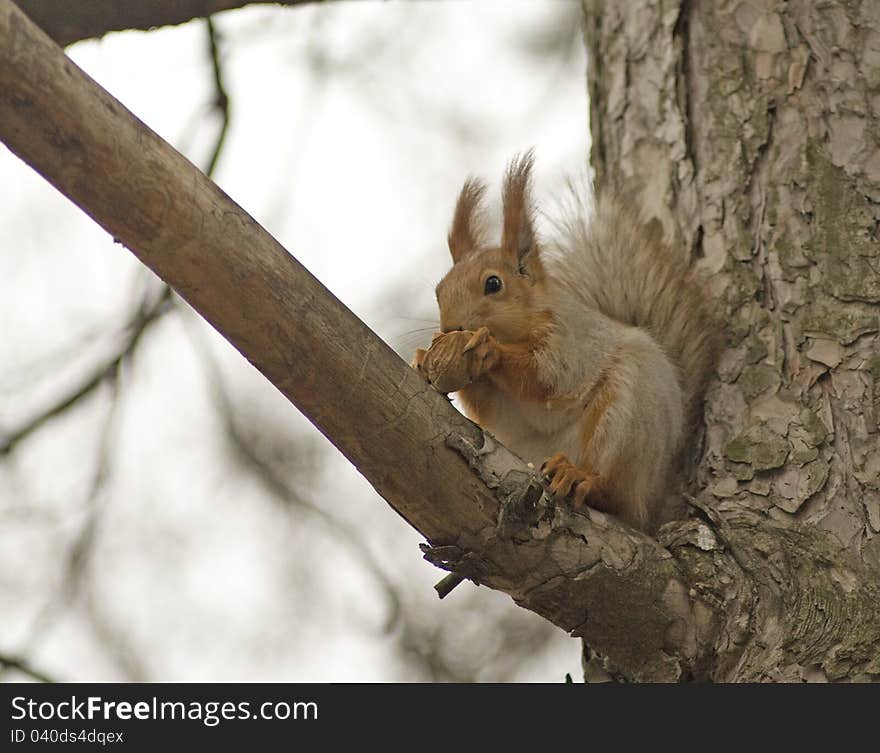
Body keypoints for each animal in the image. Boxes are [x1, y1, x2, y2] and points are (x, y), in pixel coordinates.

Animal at [410, 151, 720, 528]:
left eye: (493, 284)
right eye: (439, 291)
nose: (450, 329)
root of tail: (655, 494)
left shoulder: (571, 343)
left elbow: (546, 379)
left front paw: (489, 350)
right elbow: (492, 408)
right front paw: (425, 360)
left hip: (626, 417)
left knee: (615, 491)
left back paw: (581, 477)